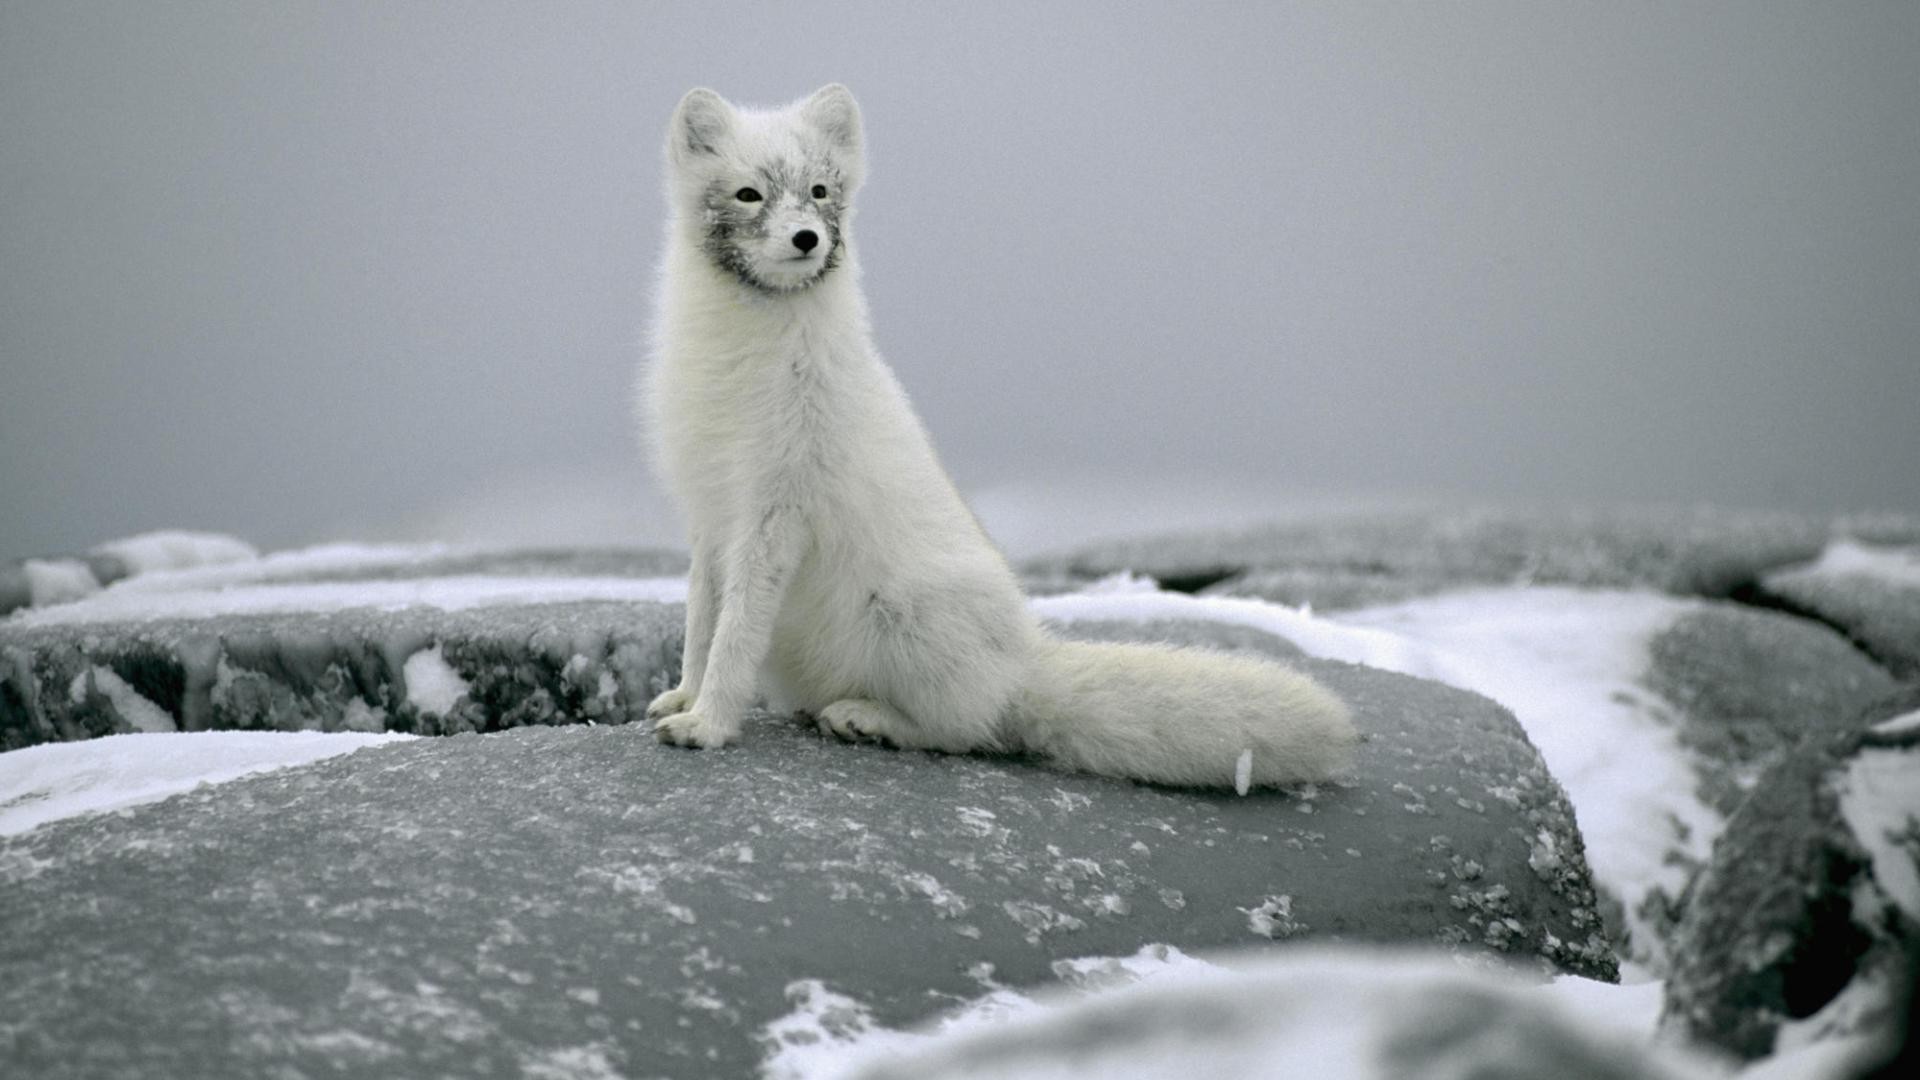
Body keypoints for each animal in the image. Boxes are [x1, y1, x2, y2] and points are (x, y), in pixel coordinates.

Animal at [637, 84, 1359, 787]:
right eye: (748, 194)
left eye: (818, 190)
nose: (808, 238)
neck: (741, 360)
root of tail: (1024, 664)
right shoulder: (709, 513)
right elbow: (702, 621)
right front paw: (684, 696)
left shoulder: (775, 511)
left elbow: (735, 634)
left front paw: (708, 724)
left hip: (907, 614)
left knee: (967, 730)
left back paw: (867, 718)